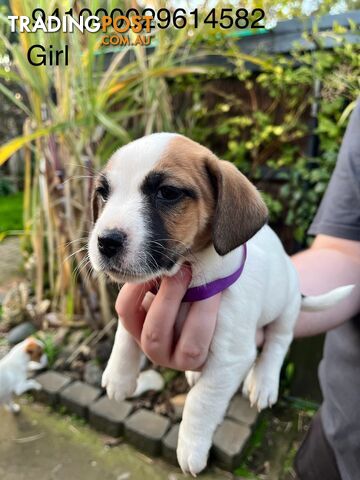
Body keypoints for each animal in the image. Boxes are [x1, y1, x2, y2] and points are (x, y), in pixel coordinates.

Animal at [88, 133, 352, 474]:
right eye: (104, 193)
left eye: (167, 193)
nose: (105, 242)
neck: (186, 284)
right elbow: (125, 333)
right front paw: (119, 376)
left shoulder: (231, 358)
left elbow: (202, 401)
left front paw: (192, 447)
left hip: (286, 308)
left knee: (277, 343)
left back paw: (264, 382)